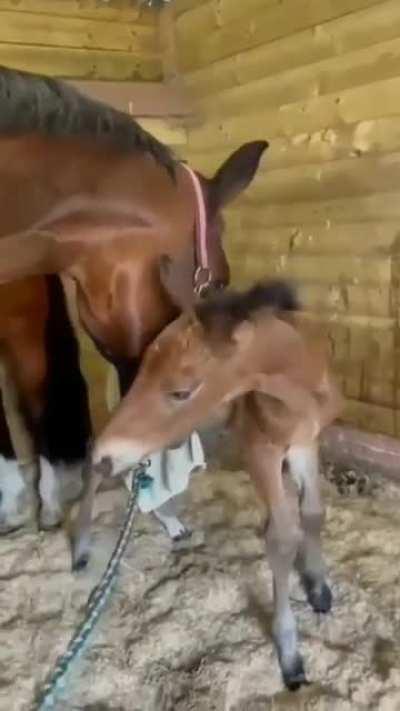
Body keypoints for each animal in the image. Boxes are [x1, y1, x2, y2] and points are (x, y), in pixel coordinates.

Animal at [74, 279, 342, 690]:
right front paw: (290, 655)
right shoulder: (260, 450)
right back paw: (81, 547)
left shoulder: (304, 443)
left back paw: (171, 523)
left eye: (181, 392)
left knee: (129, 471)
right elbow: (281, 536)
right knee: (96, 460)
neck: (297, 393)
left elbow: (313, 512)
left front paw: (318, 589)